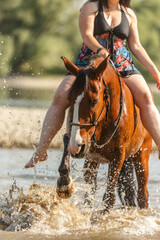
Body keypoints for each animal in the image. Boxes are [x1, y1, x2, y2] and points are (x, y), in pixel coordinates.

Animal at [57, 54, 152, 210]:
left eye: (94, 101)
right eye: (70, 99)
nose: (77, 145)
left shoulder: (118, 155)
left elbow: (109, 197)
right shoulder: (81, 145)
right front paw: (64, 184)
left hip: (142, 154)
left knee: (142, 194)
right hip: (93, 160)